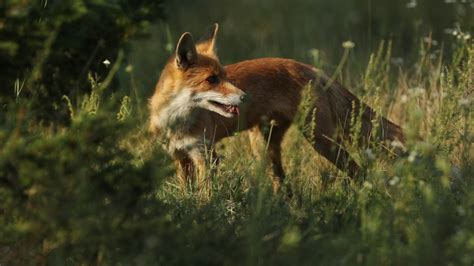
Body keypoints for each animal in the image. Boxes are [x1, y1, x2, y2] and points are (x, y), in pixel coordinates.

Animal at [148, 23, 404, 193]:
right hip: (265, 147)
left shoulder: (205, 156)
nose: (244, 97)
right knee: (284, 185)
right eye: (211, 79)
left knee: (358, 171)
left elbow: (206, 195)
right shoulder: (179, 157)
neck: (177, 123)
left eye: (225, 76)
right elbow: (187, 193)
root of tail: (308, 67)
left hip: (322, 141)